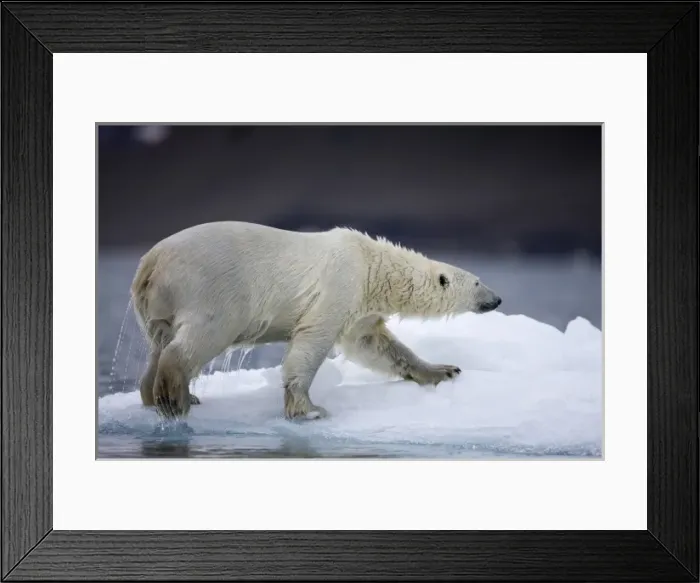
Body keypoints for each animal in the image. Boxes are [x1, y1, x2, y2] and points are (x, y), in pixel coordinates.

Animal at [130, 221, 502, 421]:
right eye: (479, 282)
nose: (497, 299)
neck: (372, 266)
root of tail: (150, 262)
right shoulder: (340, 284)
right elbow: (312, 341)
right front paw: (308, 409)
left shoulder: (360, 305)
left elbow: (373, 345)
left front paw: (443, 370)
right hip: (211, 290)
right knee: (199, 338)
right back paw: (177, 397)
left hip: (157, 306)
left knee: (158, 344)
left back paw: (156, 395)